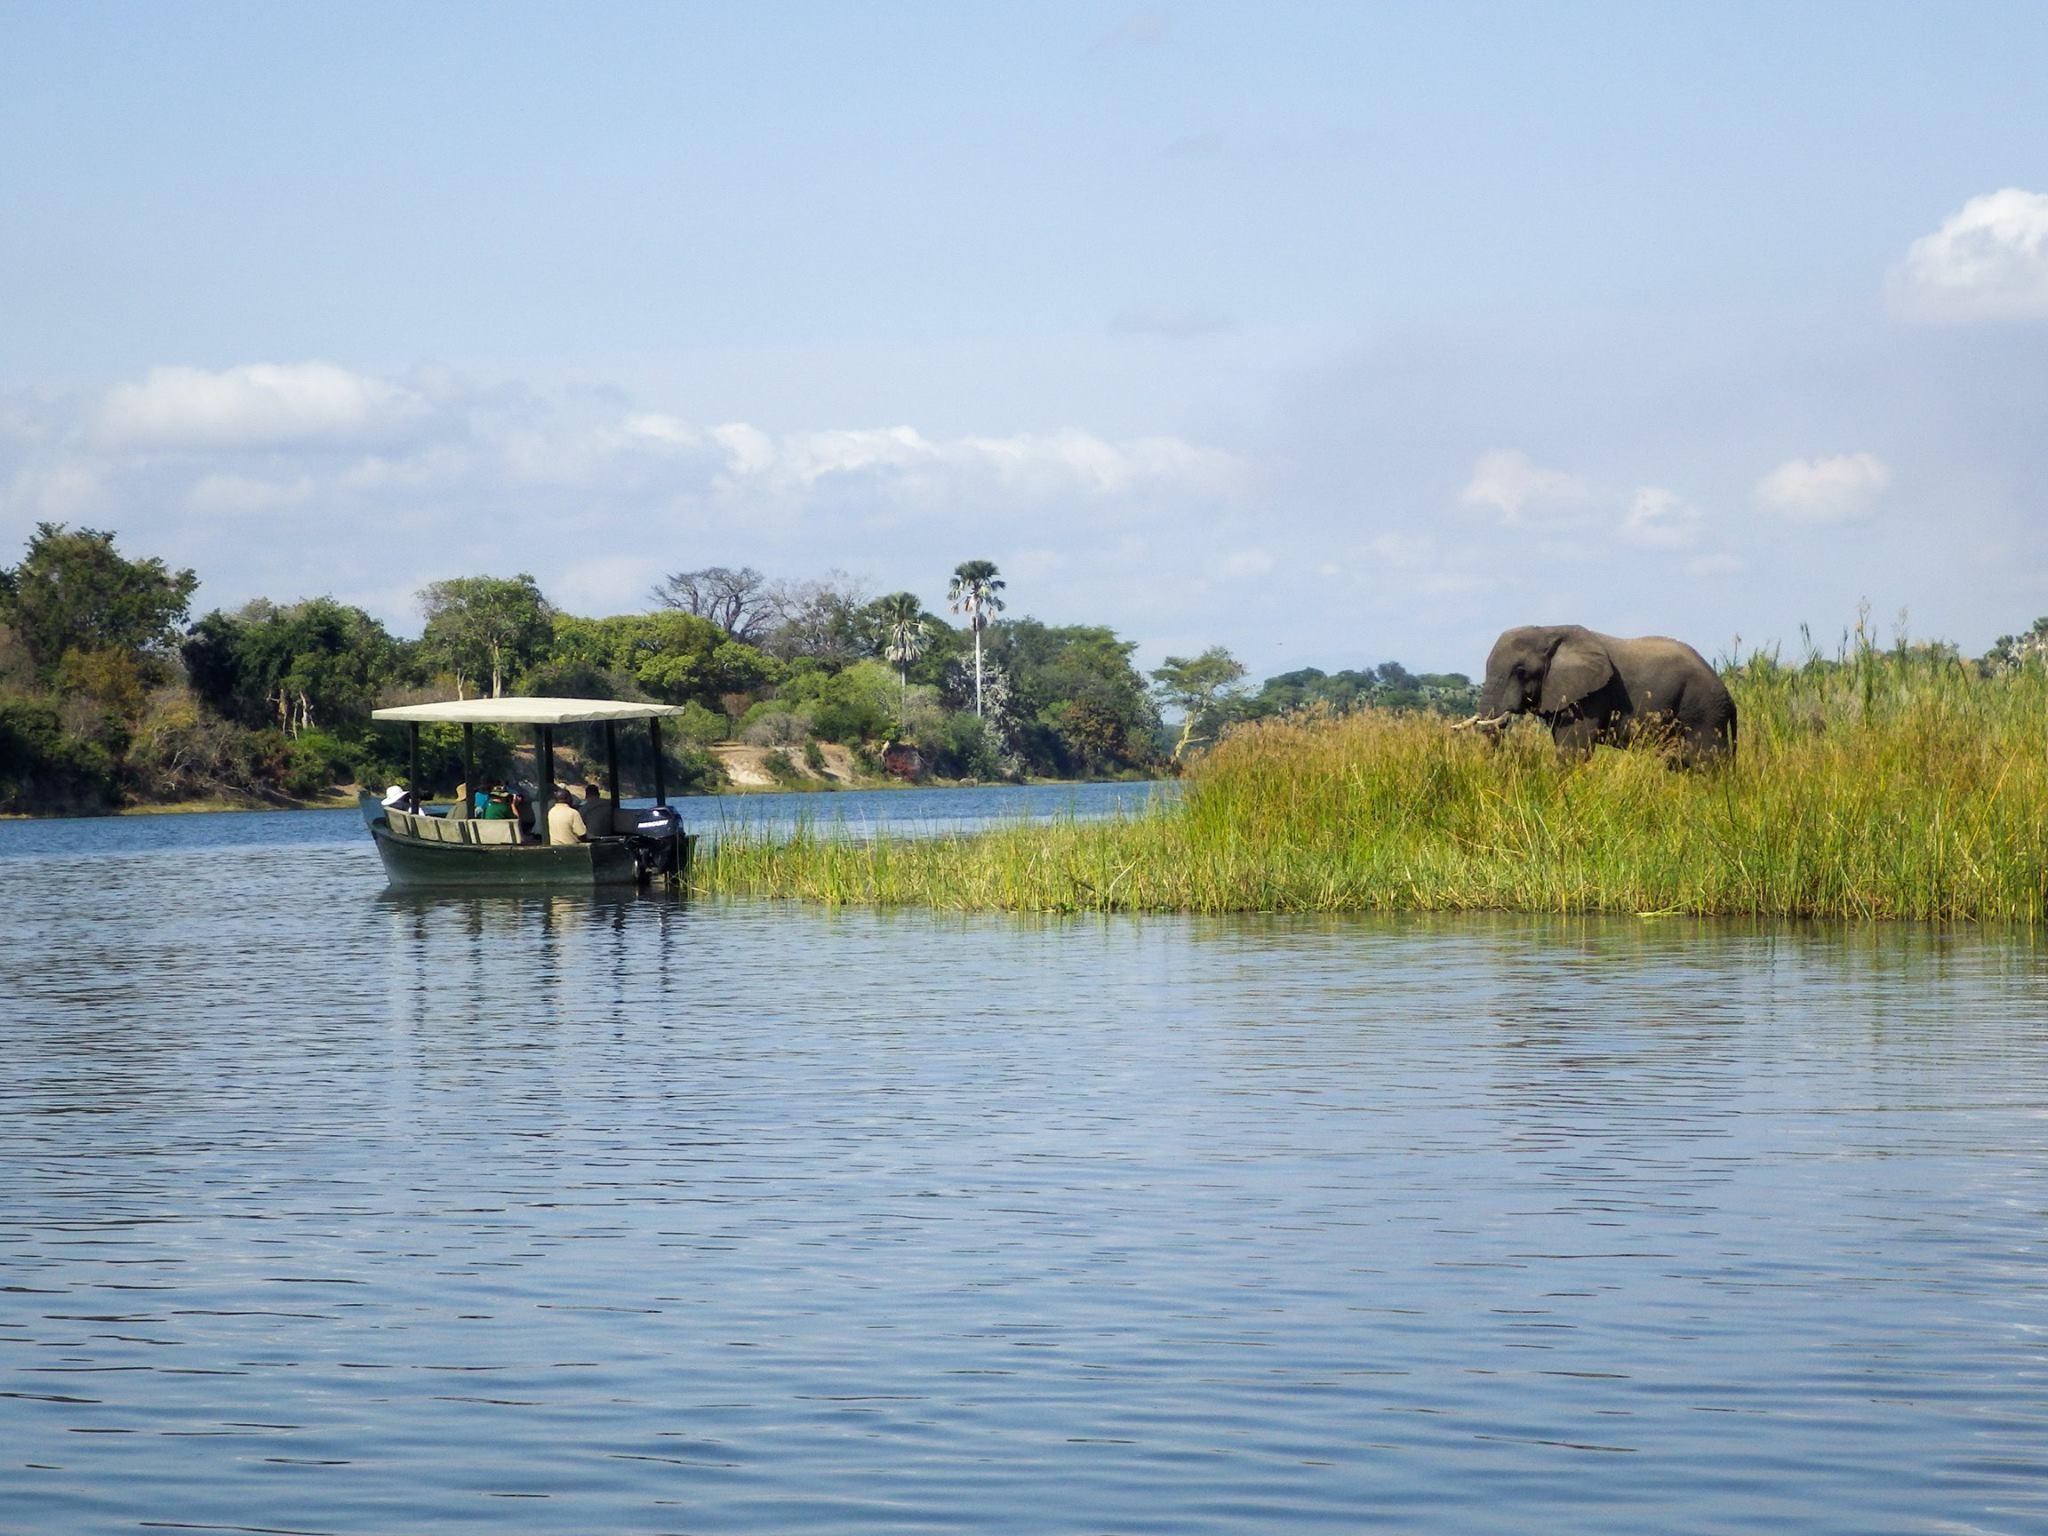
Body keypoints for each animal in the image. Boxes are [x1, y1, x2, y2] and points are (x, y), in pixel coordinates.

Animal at [1458, 626, 1744, 765]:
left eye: (1520, 671)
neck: (1549, 631)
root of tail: (1730, 698)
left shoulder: (1591, 696)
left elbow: (1573, 750)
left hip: (1703, 712)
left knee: (1705, 763)